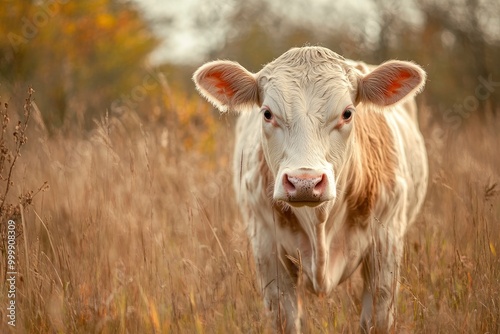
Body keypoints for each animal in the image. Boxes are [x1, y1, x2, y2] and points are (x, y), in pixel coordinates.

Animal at [193, 45, 428, 332]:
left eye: (347, 113)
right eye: (267, 113)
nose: (304, 182)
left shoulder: (386, 245)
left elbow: (376, 319)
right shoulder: (268, 249)